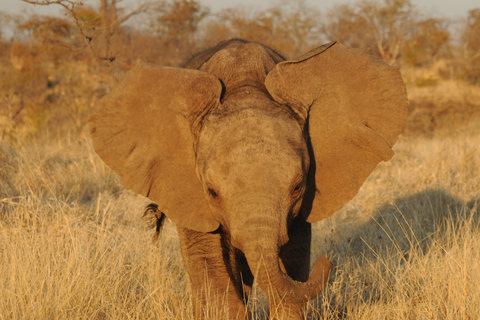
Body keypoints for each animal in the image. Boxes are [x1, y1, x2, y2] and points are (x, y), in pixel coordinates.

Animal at [88, 38, 406, 318]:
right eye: (212, 192)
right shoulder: (188, 192)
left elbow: (294, 258)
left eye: (298, 187)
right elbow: (210, 263)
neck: (245, 86)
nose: (328, 261)